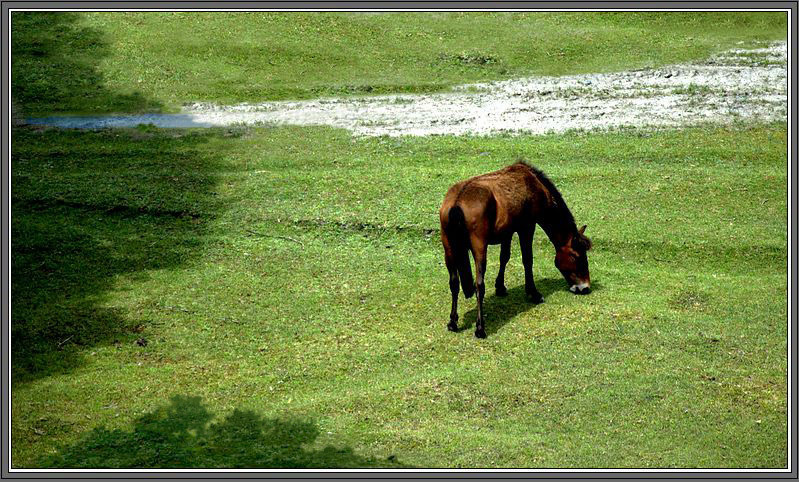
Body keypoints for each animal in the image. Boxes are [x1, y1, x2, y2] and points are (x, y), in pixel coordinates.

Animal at [440, 162, 592, 338]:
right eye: (576, 256)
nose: (585, 287)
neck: (533, 184)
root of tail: (457, 201)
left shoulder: (507, 232)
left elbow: (504, 257)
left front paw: (500, 287)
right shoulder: (527, 227)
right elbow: (527, 259)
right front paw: (533, 293)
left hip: (449, 249)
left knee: (454, 282)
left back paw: (453, 322)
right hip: (479, 249)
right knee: (479, 284)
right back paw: (480, 328)